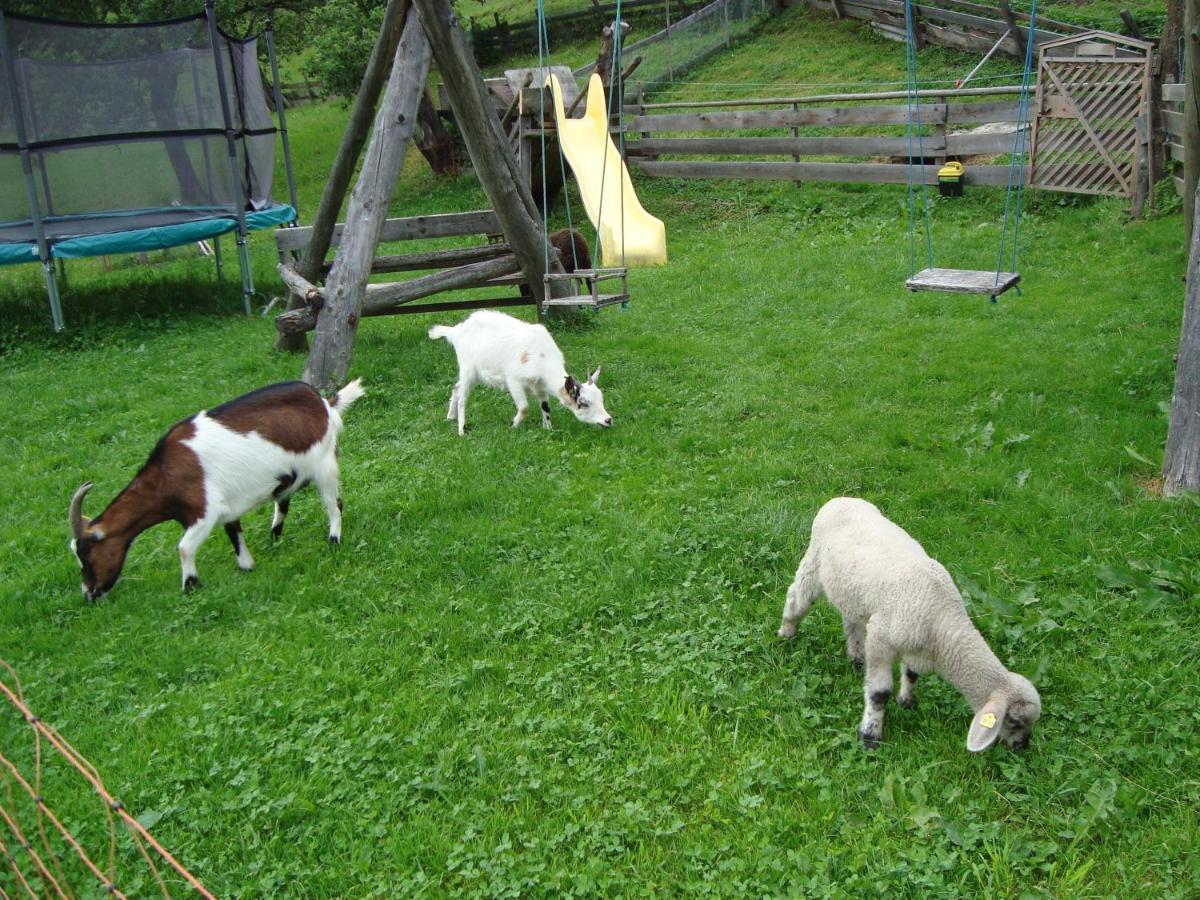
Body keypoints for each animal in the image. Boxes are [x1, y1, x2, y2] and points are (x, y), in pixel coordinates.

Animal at [66, 376, 360, 602]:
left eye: (87, 554)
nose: (89, 594)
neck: (165, 476)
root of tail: (325, 403)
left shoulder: (204, 511)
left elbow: (184, 547)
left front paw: (190, 586)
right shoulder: (228, 507)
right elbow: (233, 531)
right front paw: (246, 566)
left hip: (325, 465)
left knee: (334, 504)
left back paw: (333, 540)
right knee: (283, 501)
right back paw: (274, 536)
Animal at [429, 309, 614, 436]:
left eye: (601, 399)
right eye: (583, 403)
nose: (608, 420)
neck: (543, 357)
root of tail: (456, 331)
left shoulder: (540, 386)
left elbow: (545, 407)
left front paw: (548, 429)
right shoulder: (513, 380)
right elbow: (524, 407)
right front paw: (513, 425)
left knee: (456, 388)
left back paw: (450, 417)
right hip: (467, 368)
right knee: (463, 397)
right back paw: (461, 430)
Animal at [777, 501, 1041, 753]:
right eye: (1013, 721)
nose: (1022, 747)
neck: (944, 623)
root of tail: (839, 499)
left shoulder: (914, 644)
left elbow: (912, 673)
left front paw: (907, 701)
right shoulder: (880, 640)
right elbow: (879, 693)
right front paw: (870, 737)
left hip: (853, 593)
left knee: (850, 621)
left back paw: (856, 658)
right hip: (813, 563)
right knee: (796, 599)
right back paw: (786, 634)